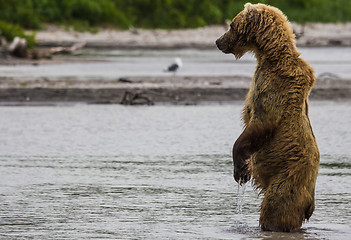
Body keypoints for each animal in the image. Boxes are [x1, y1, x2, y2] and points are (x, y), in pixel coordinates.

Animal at [216, 2, 320, 232]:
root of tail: (310, 202)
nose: (218, 41)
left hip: (287, 181)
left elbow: (261, 122)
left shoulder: (273, 86)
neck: (268, 55)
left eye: (231, 25)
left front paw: (240, 168)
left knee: (275, 208)